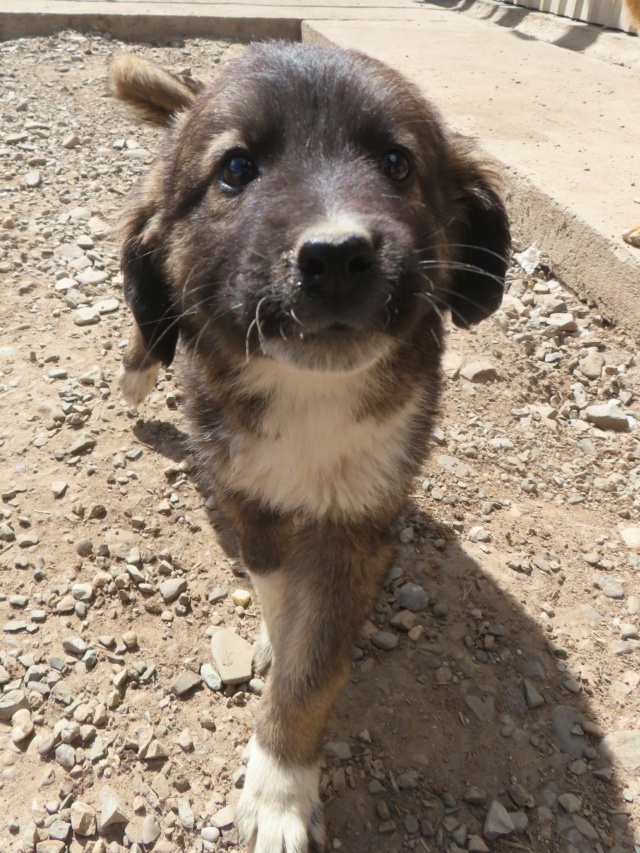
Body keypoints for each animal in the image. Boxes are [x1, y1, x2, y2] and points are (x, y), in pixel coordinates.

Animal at [110, 45, 510, 852]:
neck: (308, 394)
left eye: (397, 162)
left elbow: (316, 663)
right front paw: (274, 637)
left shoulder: (359, 518)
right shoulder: (244, 487)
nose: (336, 256)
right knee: (152, 313)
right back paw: (140, 367)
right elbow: (271, 578)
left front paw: (280, 789)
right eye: (235, 168)